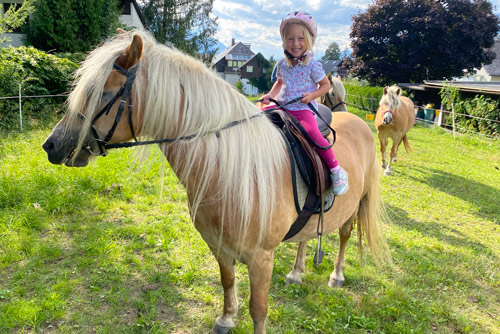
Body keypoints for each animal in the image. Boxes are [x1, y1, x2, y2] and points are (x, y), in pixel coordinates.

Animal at [43, 29, 392, 334]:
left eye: (97, 93)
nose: (52, 145)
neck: (230, 173)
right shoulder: (218, 246)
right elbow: (227, 281)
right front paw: (226, 319)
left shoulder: (261, 259)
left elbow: (259, 310)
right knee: (307, 236)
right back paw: (296, 272)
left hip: (355, 206)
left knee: (345, 235)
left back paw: (336, 275)